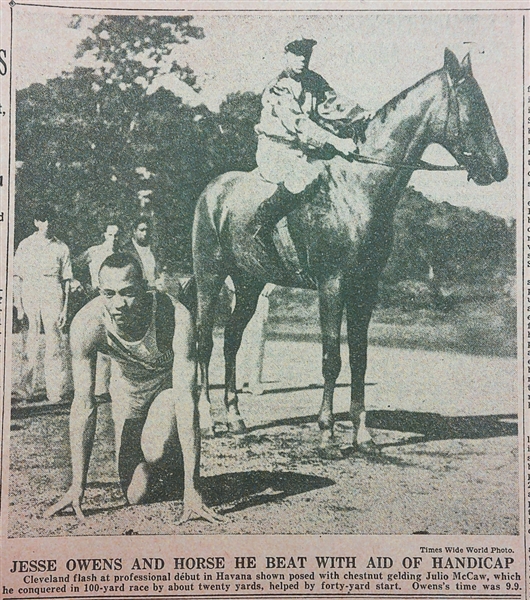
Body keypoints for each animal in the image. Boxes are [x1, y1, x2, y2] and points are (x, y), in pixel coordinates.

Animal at [192, 49, 506, 450]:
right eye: (474, 106)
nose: (500, 167)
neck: (358, 189)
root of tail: (212, 190)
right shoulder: (332, 285)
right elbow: (332, 357)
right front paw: (327, 430)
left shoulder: (365, 288)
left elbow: (359, 358)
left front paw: (363, 434)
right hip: (210, 277)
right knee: (205, 342)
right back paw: (206, 420)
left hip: (249, 284)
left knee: (231, 340)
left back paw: (235, 418)